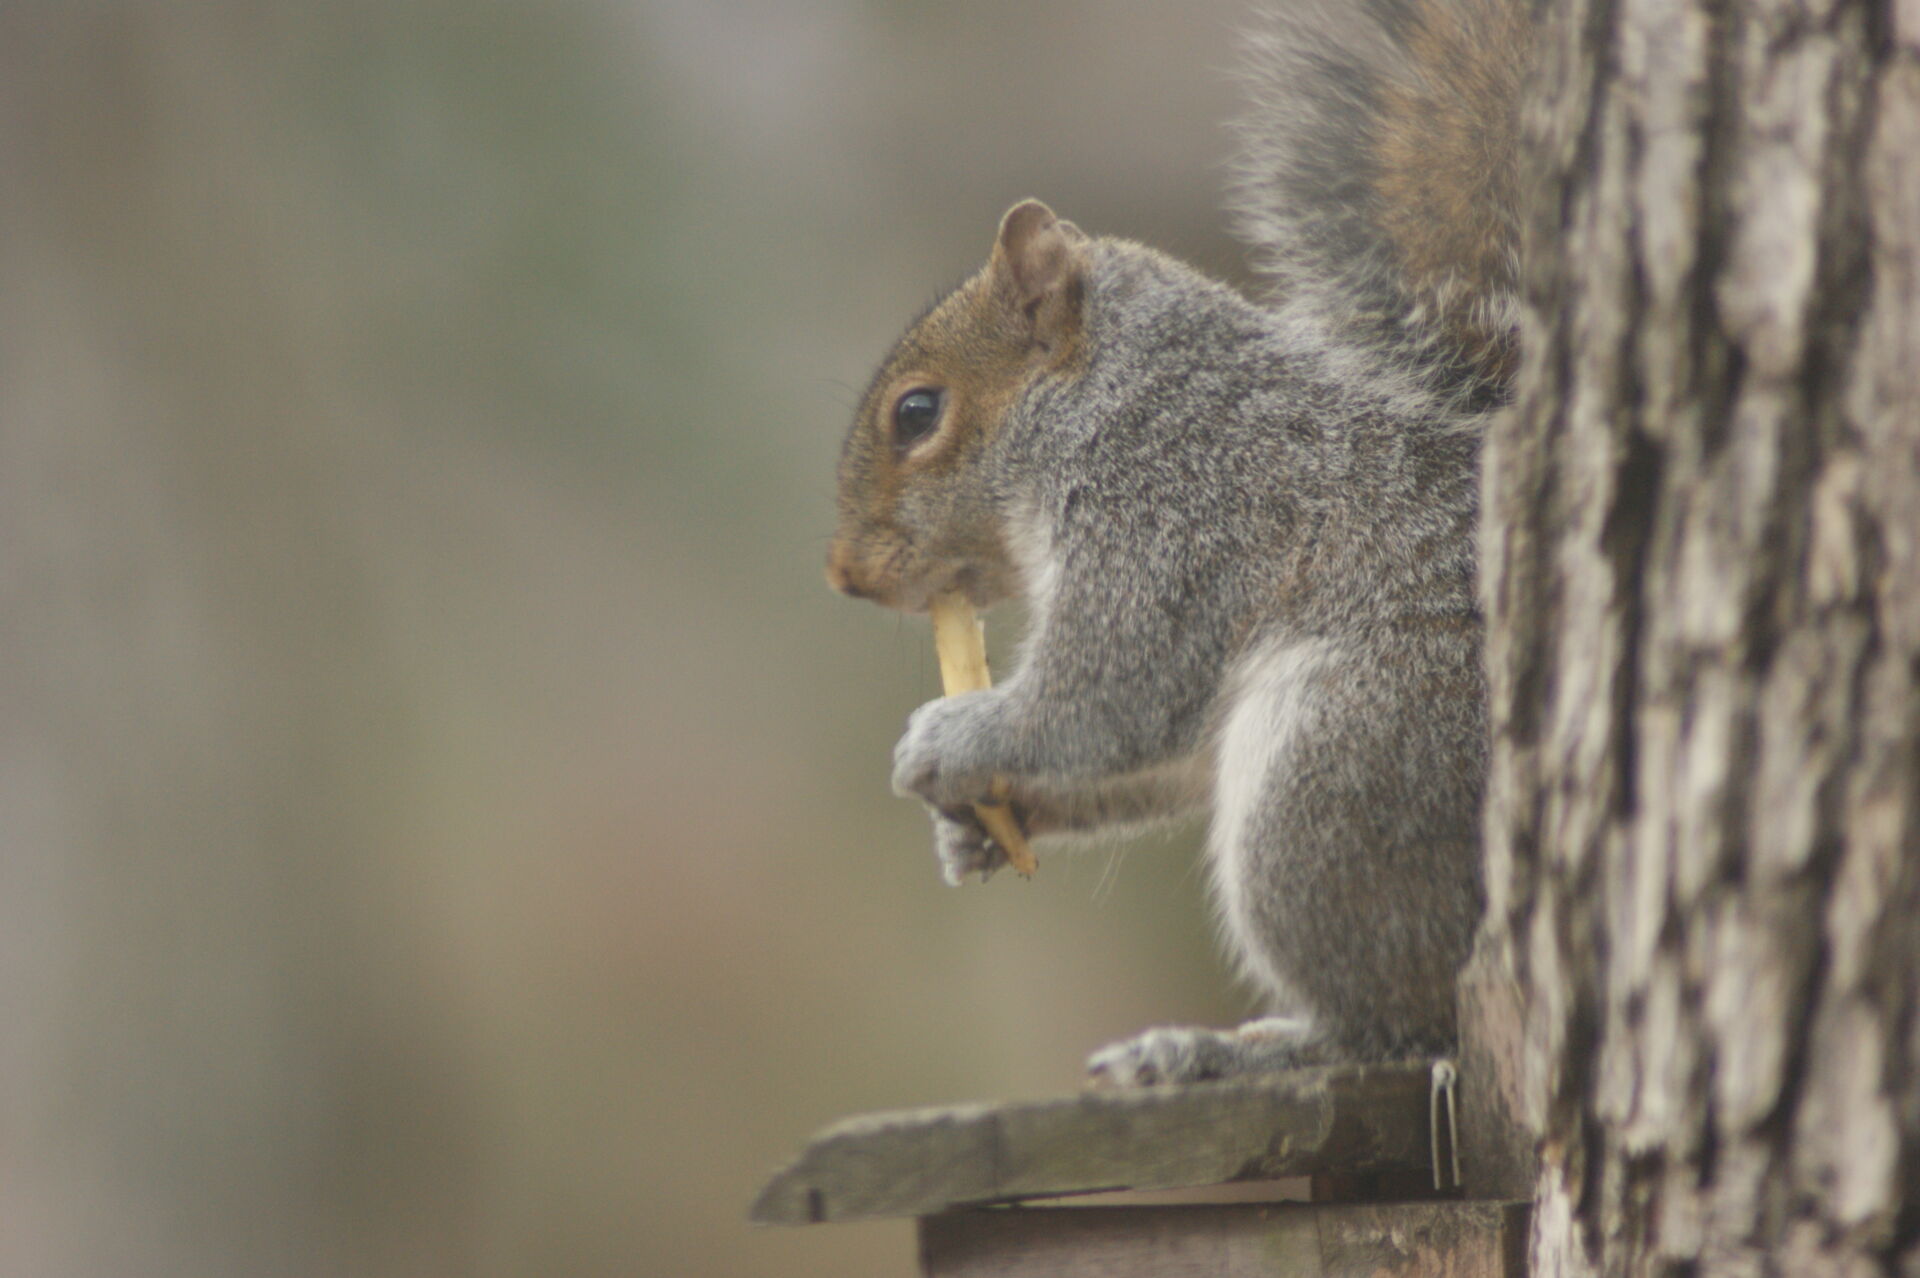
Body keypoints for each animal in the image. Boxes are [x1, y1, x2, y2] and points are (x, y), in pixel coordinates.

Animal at [825, 0, 1529, 1085]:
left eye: (916, 413)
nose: (845, 573)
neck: (1108, 393)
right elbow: (1158, 751)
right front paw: (975, 831)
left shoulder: (1172, 511)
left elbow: (1112, 694)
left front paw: (948, 738)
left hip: (1348, 770)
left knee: (1398, 1029)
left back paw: (1220, 1052)